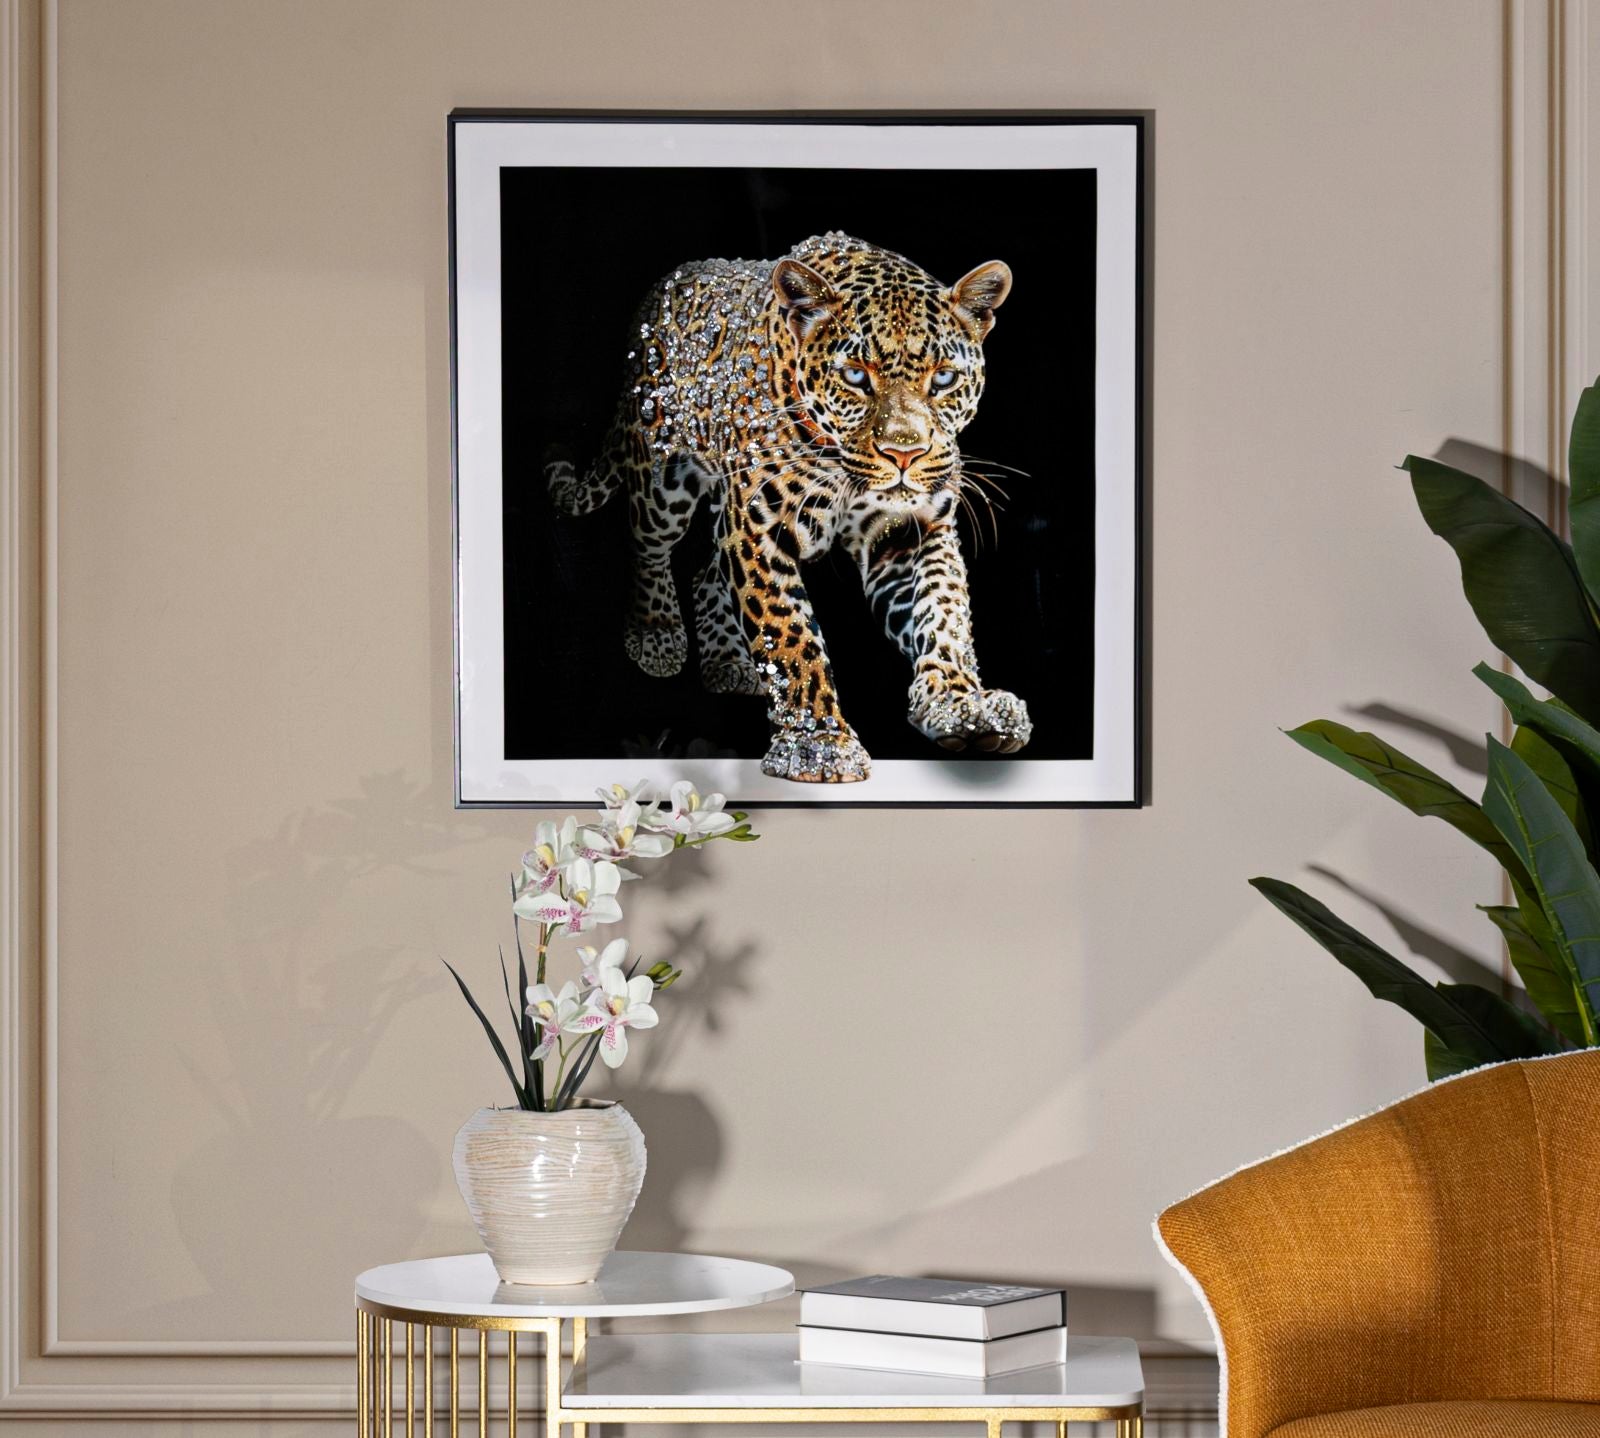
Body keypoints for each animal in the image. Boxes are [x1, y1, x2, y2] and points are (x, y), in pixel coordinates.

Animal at [547, 231, 1033, 784]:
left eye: (945, 379)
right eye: (855, 376)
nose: (904, 454)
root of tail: (666, 284)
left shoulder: (910, 530)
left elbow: (943, 611)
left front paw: (962, 706)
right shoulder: (758, 529)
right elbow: (790, 634)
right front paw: (818, 743)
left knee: (707, 570)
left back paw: (729, 663)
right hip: (660, 474)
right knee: (648, 547)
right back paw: (657, 633)